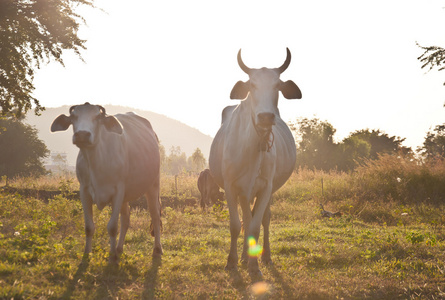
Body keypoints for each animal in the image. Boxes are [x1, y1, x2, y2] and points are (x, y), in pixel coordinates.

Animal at [50, 103, 161, 262]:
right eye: (73, 117)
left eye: (97, 117)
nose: (82, 134)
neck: (97, 162)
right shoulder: (84, 191)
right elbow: (89, 227)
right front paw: (87, 253)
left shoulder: (118, 190)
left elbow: (112, 227)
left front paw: (112, 256)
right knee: (126, 218)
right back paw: (119, 248)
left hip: (153, 184)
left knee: (155, 215)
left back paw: (157, 249)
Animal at [209, 48, 300, 276]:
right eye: (252, 85)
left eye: (277, 85)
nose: (266, 116)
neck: (252, 145)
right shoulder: (231, 187)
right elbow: (236, 225)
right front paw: (232, 261)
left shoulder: (265, 187)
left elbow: (256, 226)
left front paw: (254, 265)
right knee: (245, 217)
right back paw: (243, 256)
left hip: (267, 190)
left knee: (263, 220)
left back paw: (263, 256)